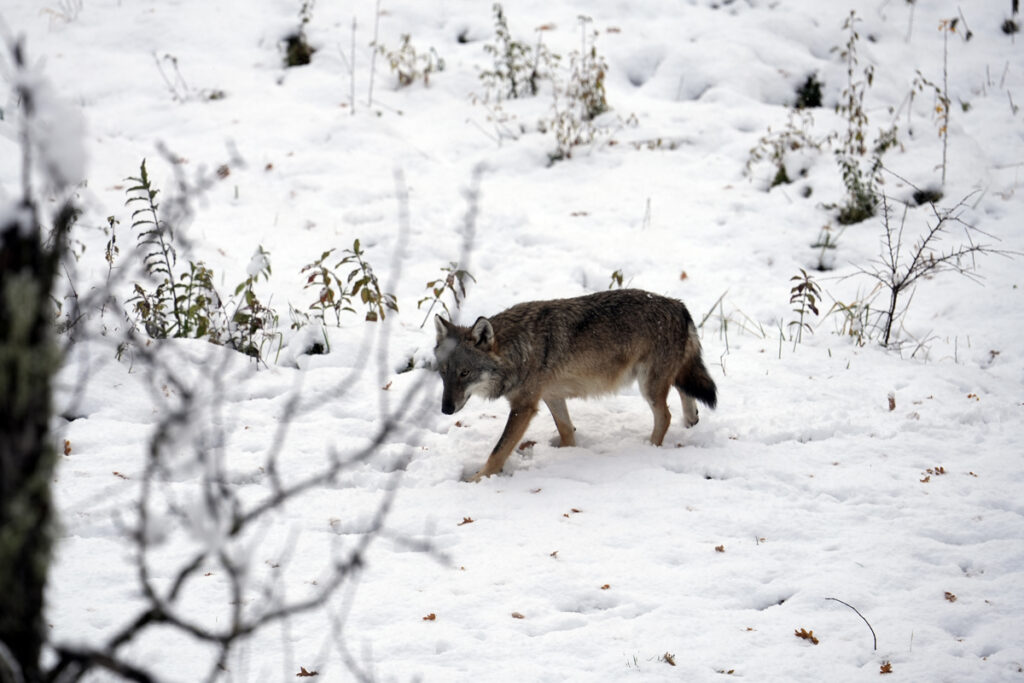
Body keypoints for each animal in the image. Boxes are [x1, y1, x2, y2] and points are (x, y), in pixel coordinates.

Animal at [434, 288, 720, 481]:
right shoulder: (551, 396)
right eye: (443, 372)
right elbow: (566, 430)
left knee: (665, 415)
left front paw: (477, 479)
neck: (518, 349)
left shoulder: (524, 407)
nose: (446, 410)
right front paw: (567, 452)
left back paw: (650, 447)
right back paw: (691, 421)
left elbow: (498, 451)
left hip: (647, 386)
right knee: (684, 395)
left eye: (465, 373)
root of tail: (679, 305)